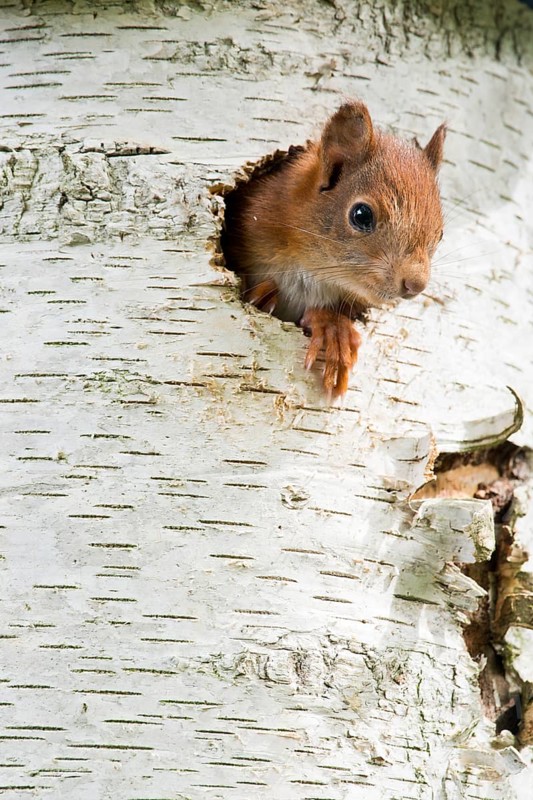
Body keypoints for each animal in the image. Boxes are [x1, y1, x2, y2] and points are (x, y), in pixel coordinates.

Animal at [222, 100, 446, 398]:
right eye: (361, 215)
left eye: (441, 233)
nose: (415, 284)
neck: (313, 271)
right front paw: (262, 293)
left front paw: (332, 327)